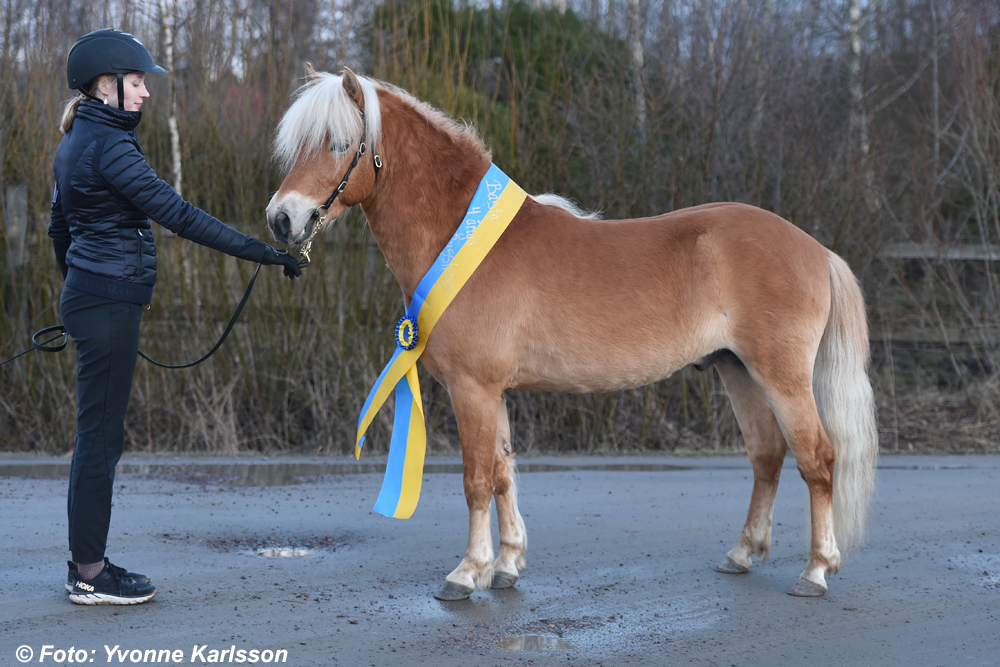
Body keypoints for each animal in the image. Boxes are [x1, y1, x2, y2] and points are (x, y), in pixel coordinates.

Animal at [266, 66, 876, 600]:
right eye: (297, 146)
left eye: (339, 144)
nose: (281, 219)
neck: (457, 233)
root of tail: (815, 249)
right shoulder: (493, 391)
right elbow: (503, 472)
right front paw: (507, 566)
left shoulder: (472, 388)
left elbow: (476, 479)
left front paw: (466, 574)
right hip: (738, 371)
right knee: (767, 456)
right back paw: (742, 554)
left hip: (782, 377)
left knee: (818, 458)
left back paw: (816, 571)